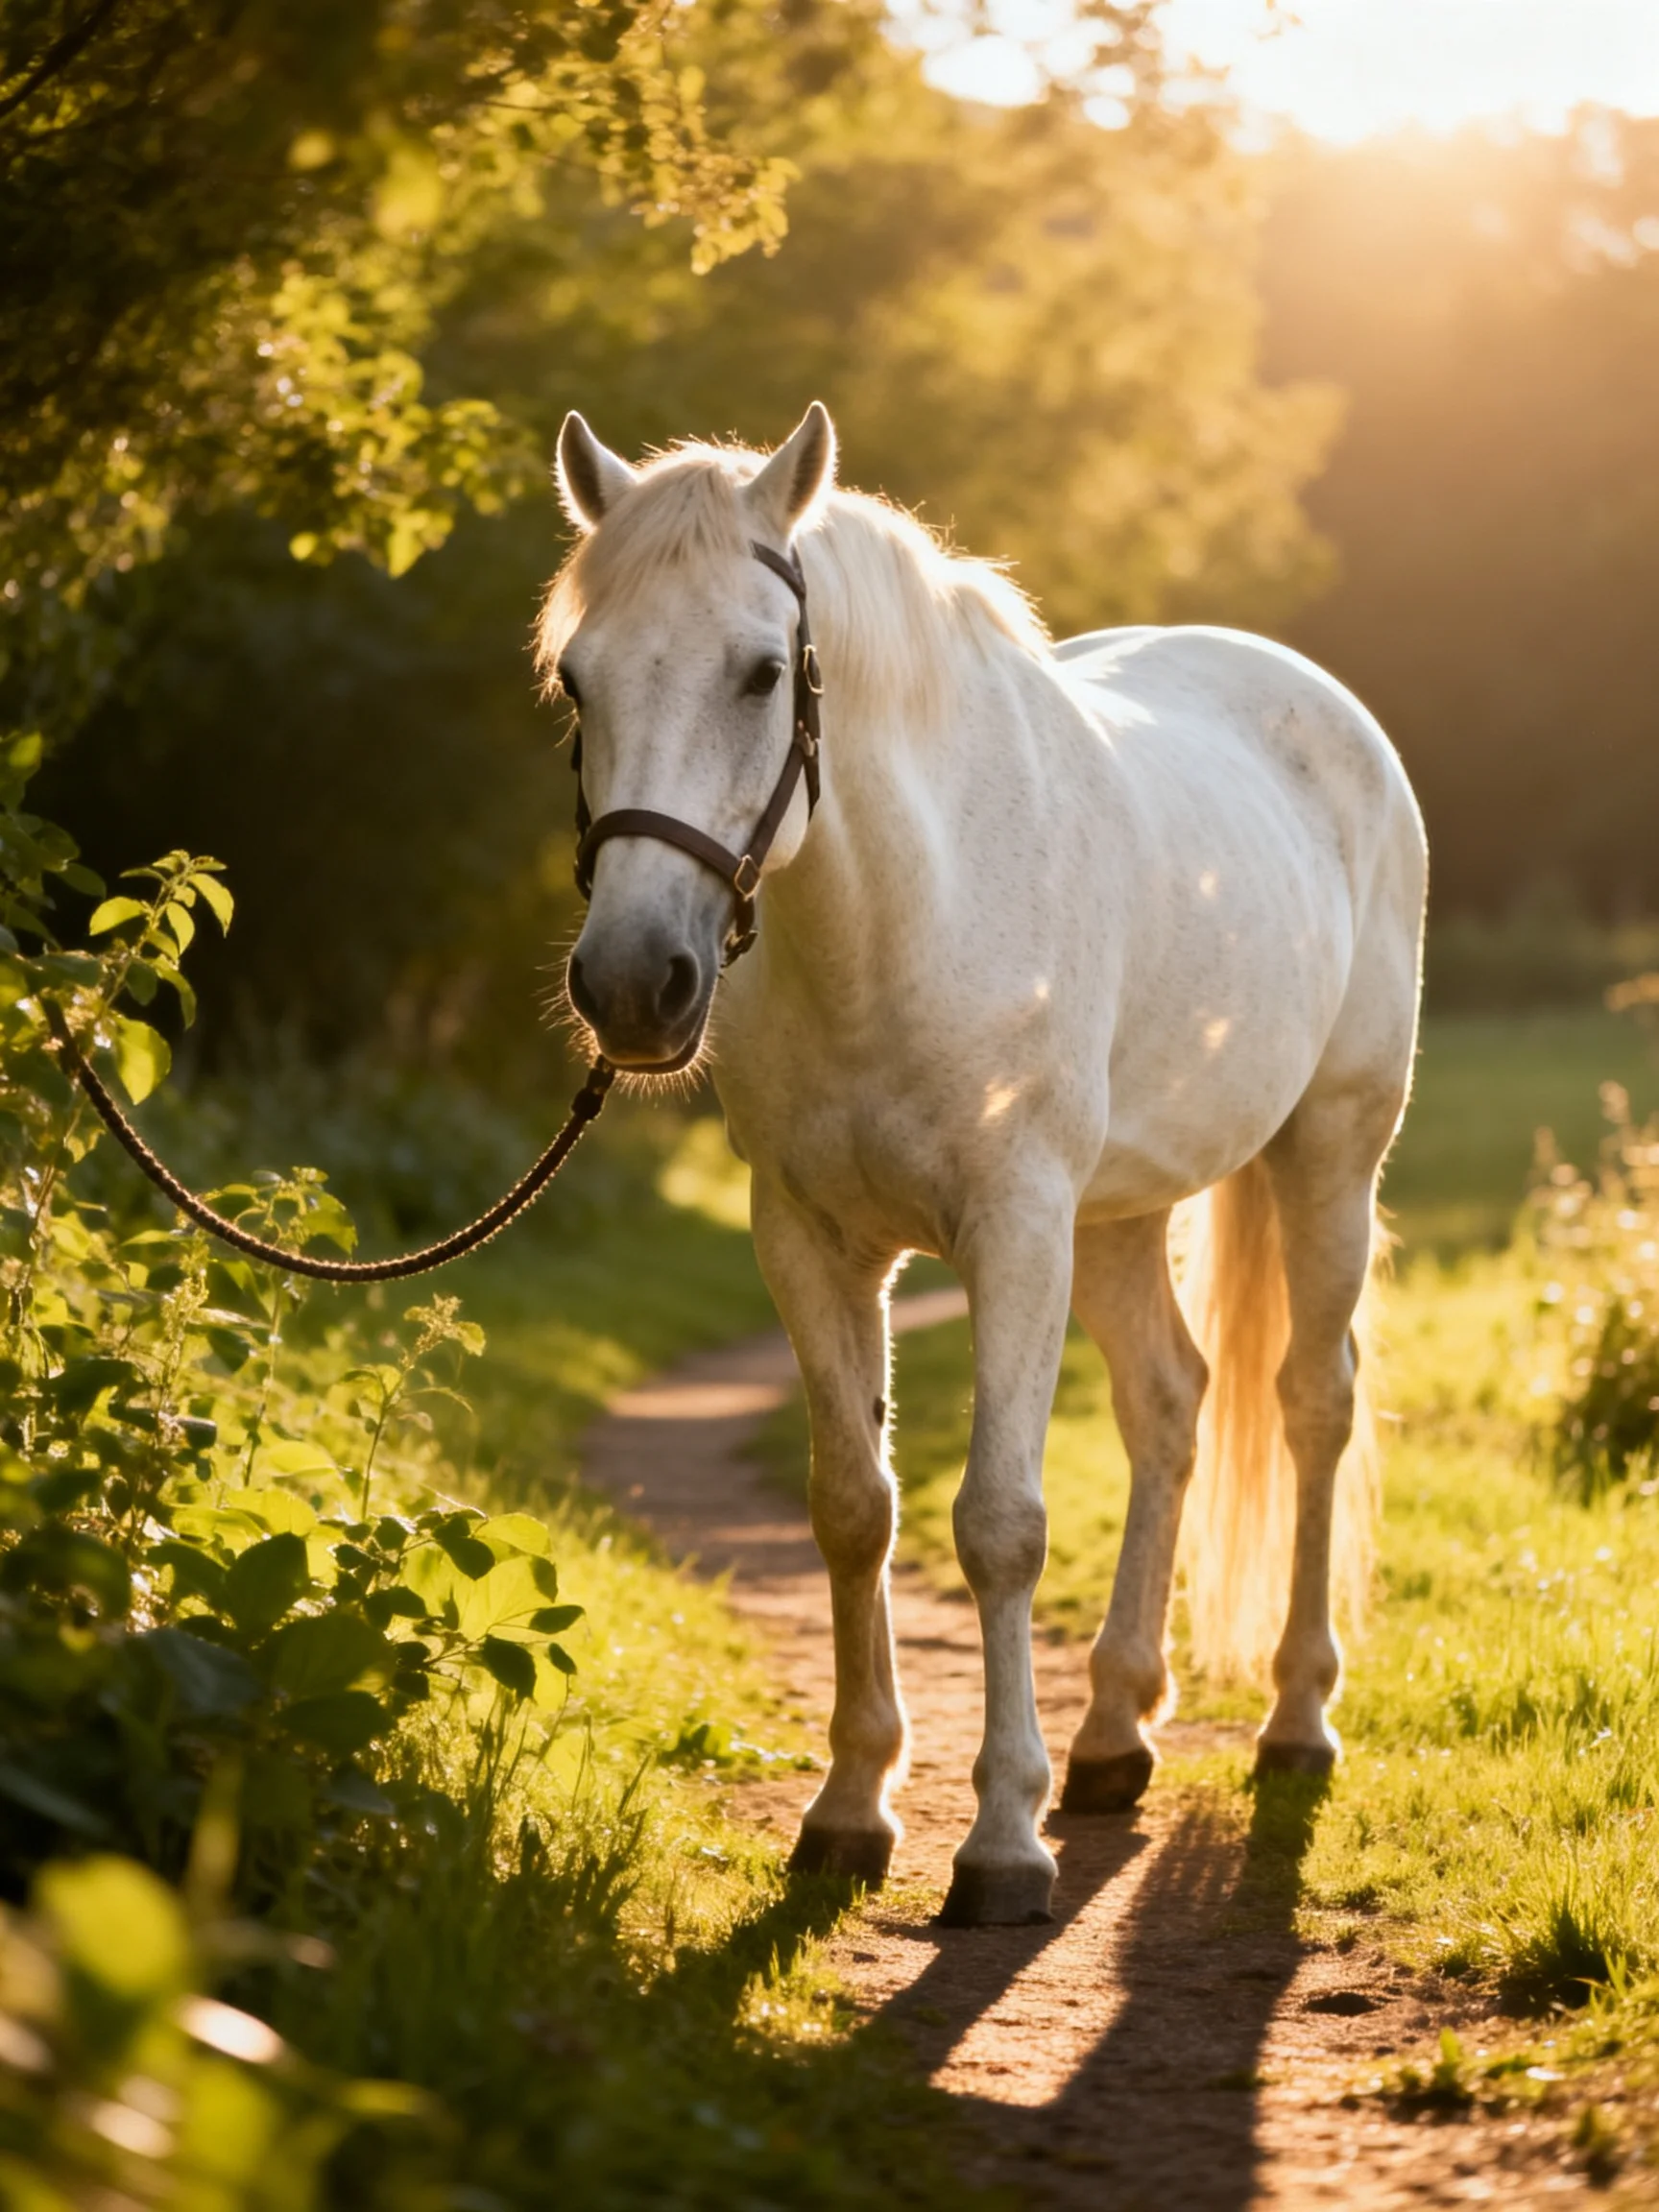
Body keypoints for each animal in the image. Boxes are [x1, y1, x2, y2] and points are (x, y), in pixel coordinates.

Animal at [540, 402, 1426, 1927]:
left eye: (762, 671)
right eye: (577, 681)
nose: (634, 985)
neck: (904, 916)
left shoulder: (1015, 1231)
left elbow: (1000, 1522)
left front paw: (1001, 1845)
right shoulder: (810, 1241)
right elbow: (855, 1509)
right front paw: (850, 1812)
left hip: (1330, 1155)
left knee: (1312, 1404)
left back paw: (1297, 1722)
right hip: (1121, 1214)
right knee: (1172, 1404)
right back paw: (1115, 1734)